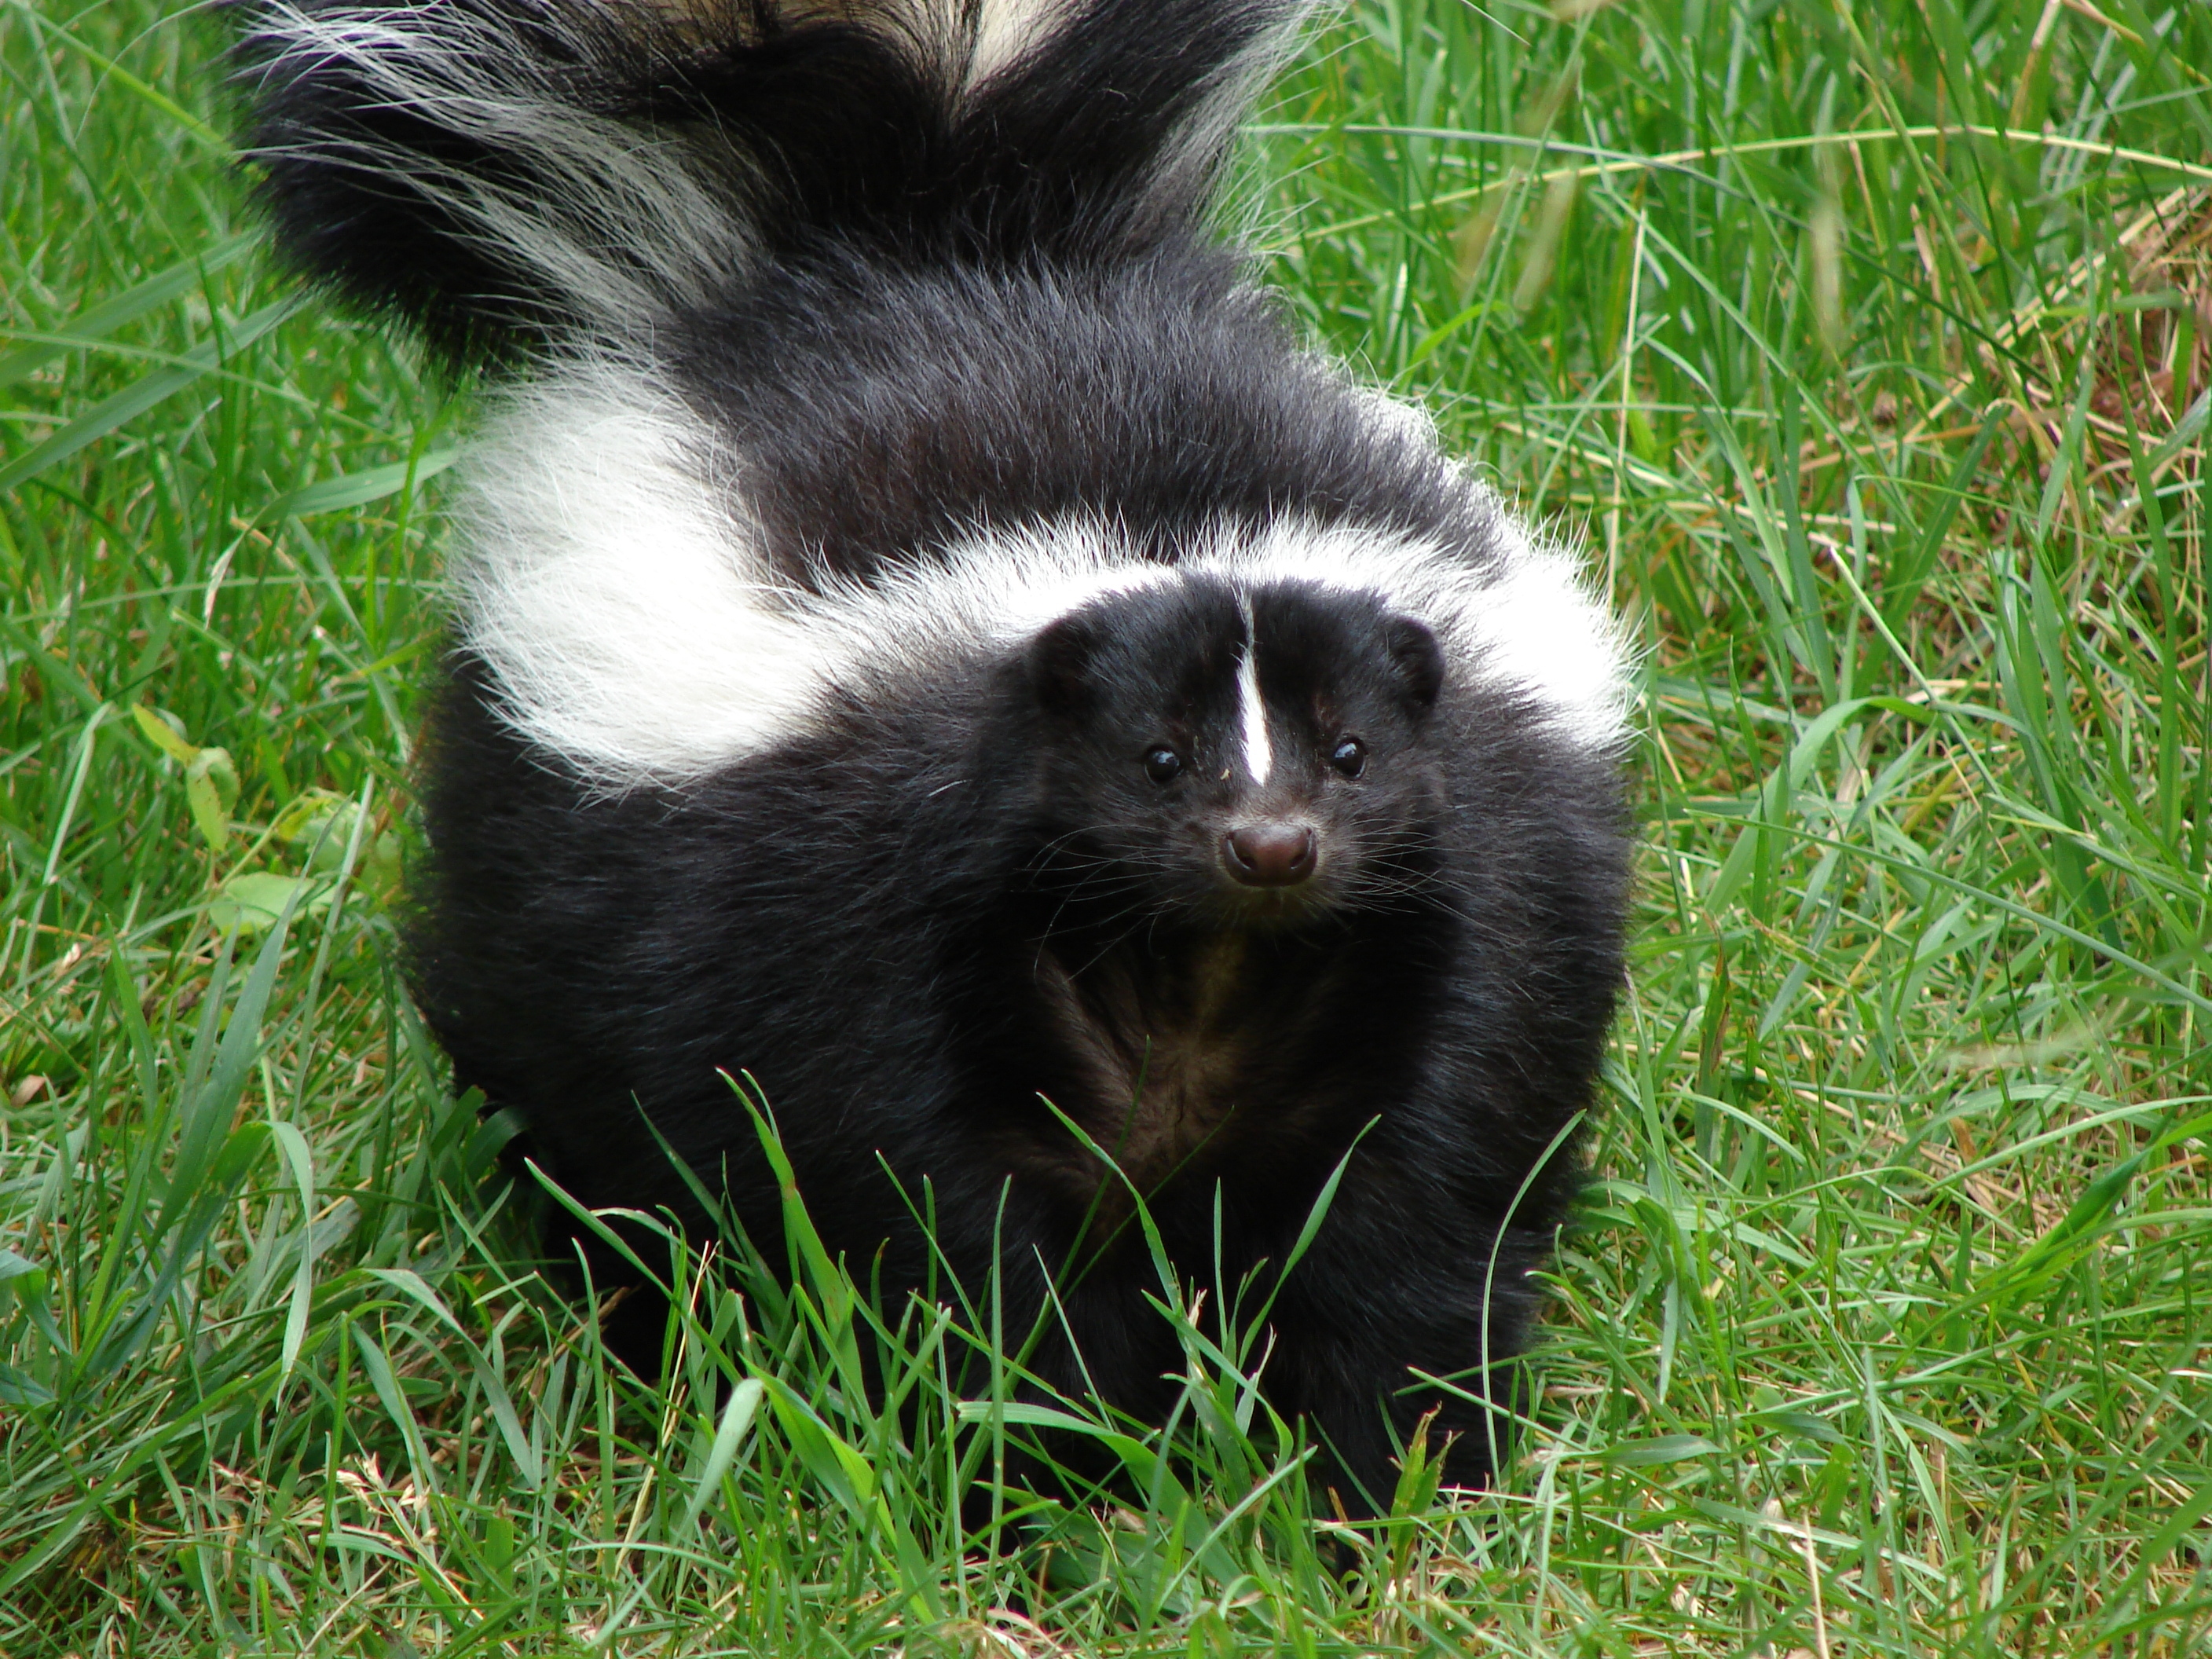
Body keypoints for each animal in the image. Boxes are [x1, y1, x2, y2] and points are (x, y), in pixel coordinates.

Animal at [242, 0, 1636, 1513]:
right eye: (1153, 759)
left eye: (1351, 751)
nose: (1269, 847)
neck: (1199, 970)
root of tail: (919, 229)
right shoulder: (846, 910)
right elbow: (938, 1216)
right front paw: (1047, 1468)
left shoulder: (1469, 896)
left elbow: (1415, 1203)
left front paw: (1386, 1475)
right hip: (543, 863)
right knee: (575, 1117)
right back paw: (629, 1319)